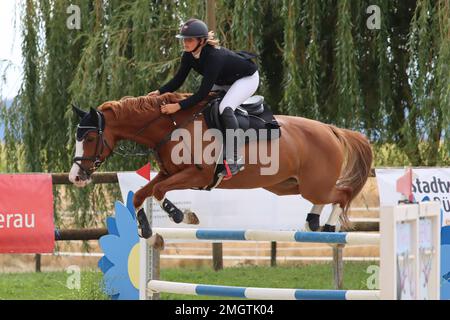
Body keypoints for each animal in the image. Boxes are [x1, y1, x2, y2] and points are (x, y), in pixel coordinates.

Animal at [69, 91, 372, 249]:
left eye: (90, 137)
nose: (76, 177)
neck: (173, 127)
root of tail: (331, 130)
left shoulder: (197, 175)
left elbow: (158, 191)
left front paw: (182, 215)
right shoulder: (170, 173)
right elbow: (141, 194)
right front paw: (146, 229)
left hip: (312, 183)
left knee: (342, 194)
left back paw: (329, 225)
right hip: (286, 184)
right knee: (326, 198)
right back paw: (313, 221)